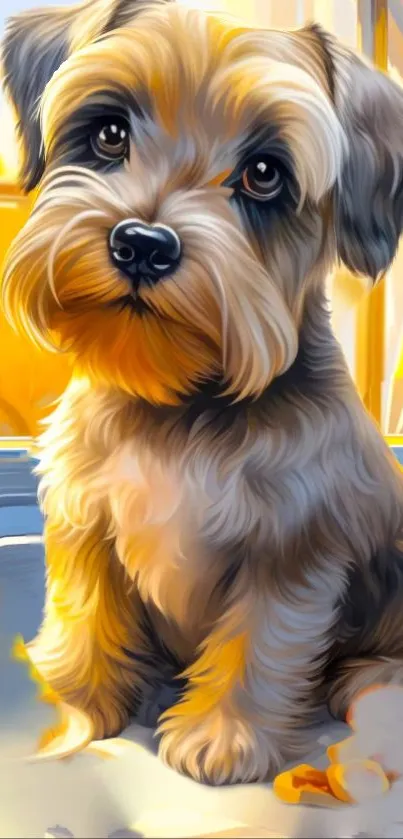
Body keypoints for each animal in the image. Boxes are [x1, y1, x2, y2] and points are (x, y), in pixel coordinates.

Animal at [2, 0, 403, 788]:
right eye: (110, 131)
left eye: (263, 173)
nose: (142, 243)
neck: (178, 404)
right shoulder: (83, 518)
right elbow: (83, 616)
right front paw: (72, 713)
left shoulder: (296, 546)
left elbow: (261, 638)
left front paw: (226, 735)